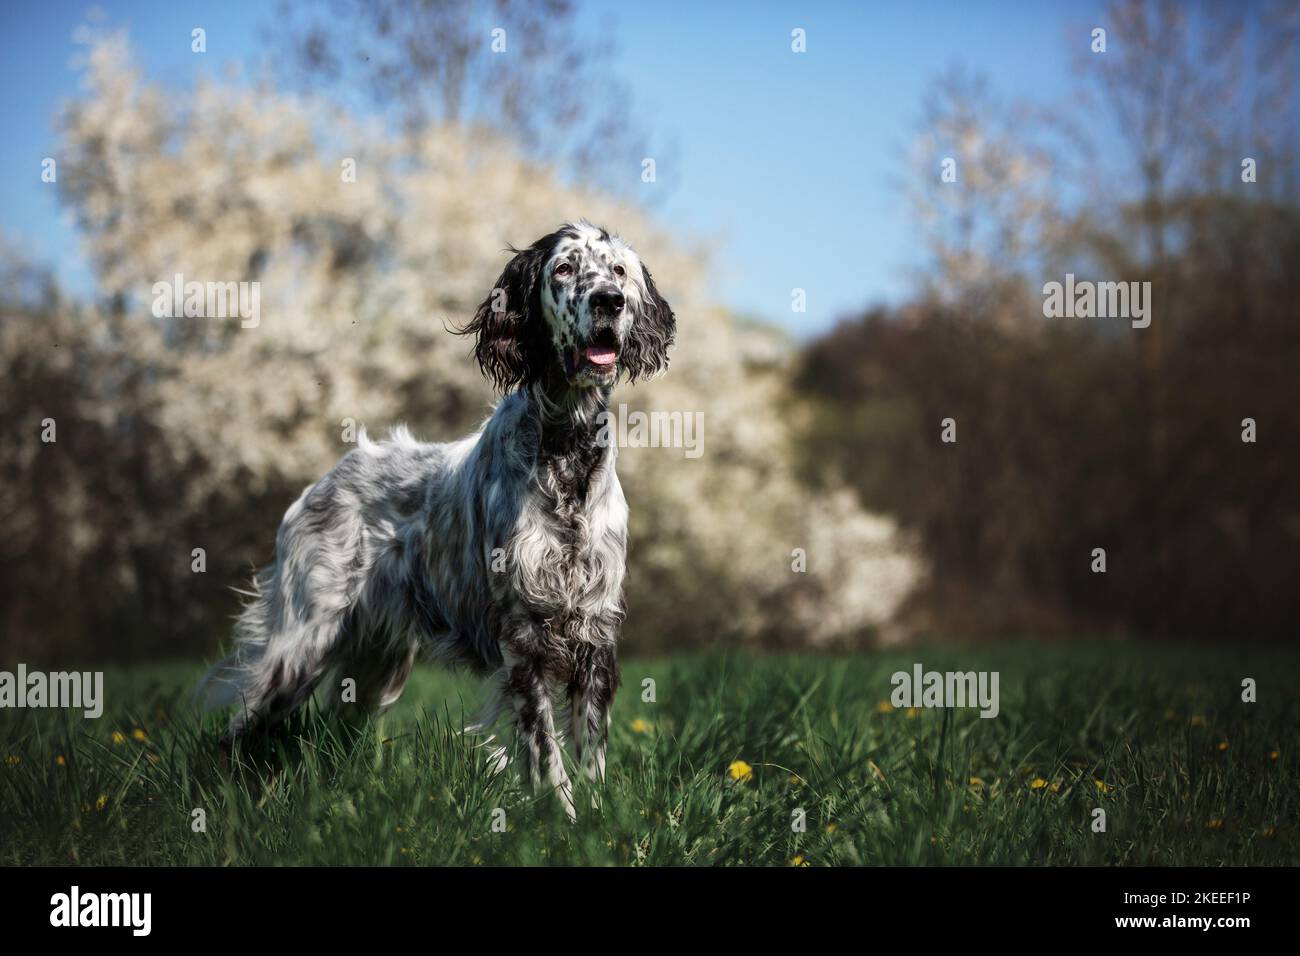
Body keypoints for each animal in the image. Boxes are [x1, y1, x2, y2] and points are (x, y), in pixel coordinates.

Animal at [200, 221, 681, 816]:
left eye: (618, 271)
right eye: (565, 268)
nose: (609, 301)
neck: (566, 454)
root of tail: (322, 480)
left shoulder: (595, 630)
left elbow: (591, 752)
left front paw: (596, 817)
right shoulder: (523, 635)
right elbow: (546, 751)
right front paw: (563, 818)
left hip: (375, 665)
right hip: (300, 649)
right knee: (236, 730)